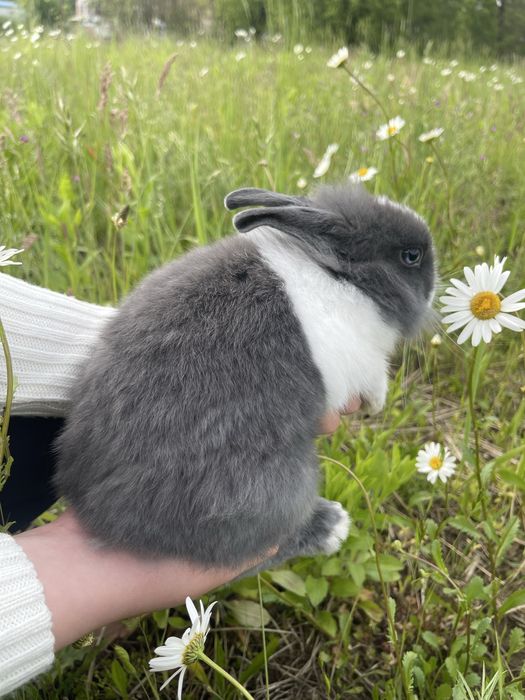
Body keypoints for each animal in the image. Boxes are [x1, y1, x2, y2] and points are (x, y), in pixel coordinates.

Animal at [55, 182, 435, 570]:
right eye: (410, 256)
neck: (342, 279)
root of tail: (98, 514)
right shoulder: (363, 364)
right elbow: (374, 380)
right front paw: (377, 404)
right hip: (276, 491)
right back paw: (331, 527)